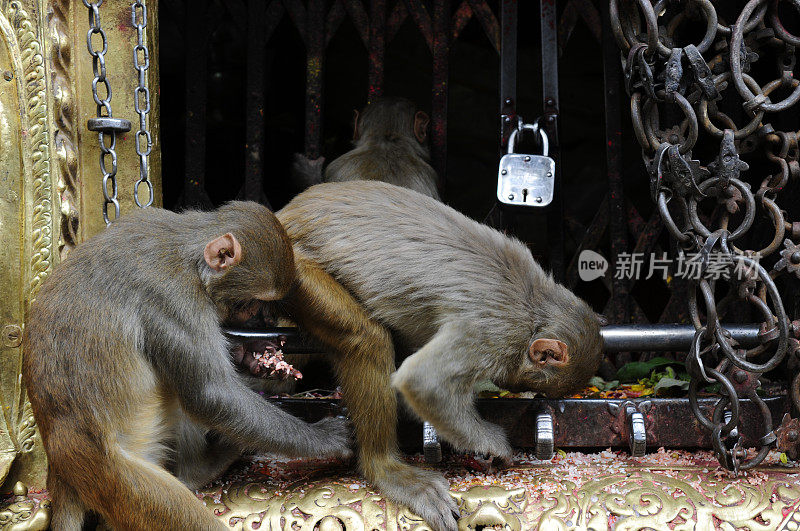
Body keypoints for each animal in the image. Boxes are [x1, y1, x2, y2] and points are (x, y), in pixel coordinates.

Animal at [22, 203, 350, 531]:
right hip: (122, 482)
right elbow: (212, 394)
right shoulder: (176, 301)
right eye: (252, 303)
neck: (187, 254)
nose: (267, 321)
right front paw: (327, 439)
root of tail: (63, 469)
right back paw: (198, 471)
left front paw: (254, 359)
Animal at [278, 182, 604, 531]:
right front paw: (491, 443)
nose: (515, 387)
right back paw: (385, 468)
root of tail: (285, 216)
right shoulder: (496, 333)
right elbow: (423, 382)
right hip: (290, 266)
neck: (535, 308)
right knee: (365, 338)